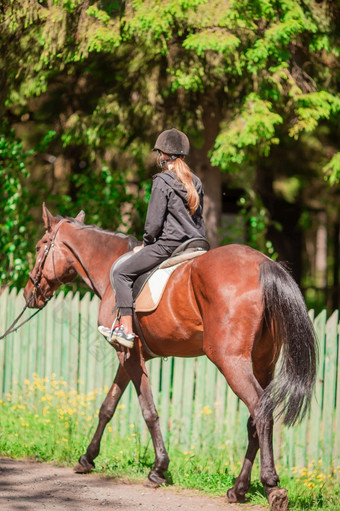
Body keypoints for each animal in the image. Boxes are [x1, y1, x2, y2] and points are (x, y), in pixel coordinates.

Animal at [23, 205, 316, 511]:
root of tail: (264, 264)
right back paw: (239, 489)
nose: (29, 293)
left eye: (39, 247)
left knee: (260, 410)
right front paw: (87, 458)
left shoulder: (130, 357)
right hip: (263, 362)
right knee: (254, 419)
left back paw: (271, 485)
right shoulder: (128, 357)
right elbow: (108, 406)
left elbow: (148, 411)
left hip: (231, 362)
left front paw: (158, 469)